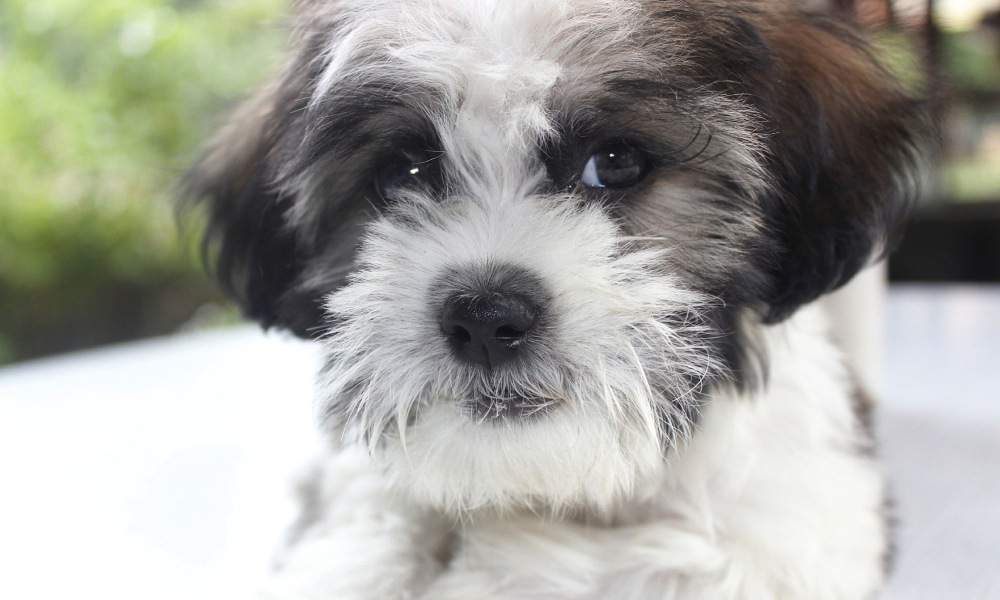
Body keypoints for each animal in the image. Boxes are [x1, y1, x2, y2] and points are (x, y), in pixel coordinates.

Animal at [184, 2, 924, 596]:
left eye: (616, 162)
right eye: (402, 174)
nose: (485, 317)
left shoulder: (809, 523)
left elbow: (671, 563)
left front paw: (487, 570)